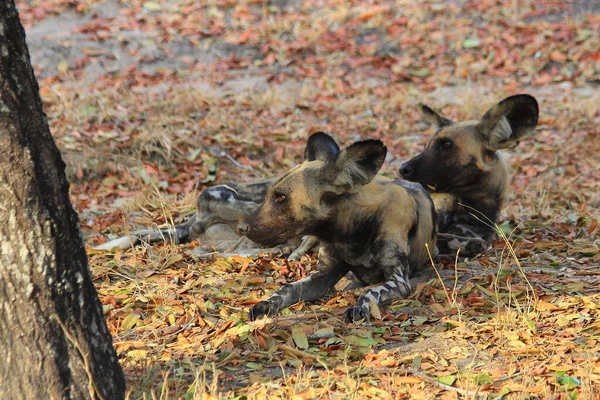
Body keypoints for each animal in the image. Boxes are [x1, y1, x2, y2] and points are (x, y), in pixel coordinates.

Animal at [237, 132, 438, 322]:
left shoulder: (399, 280)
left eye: (281, 197)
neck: (349, 234)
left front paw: (360, 307)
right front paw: (267, 303)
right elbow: (288, 288)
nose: (241, 227)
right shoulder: (324, 274)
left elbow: (371, 292)